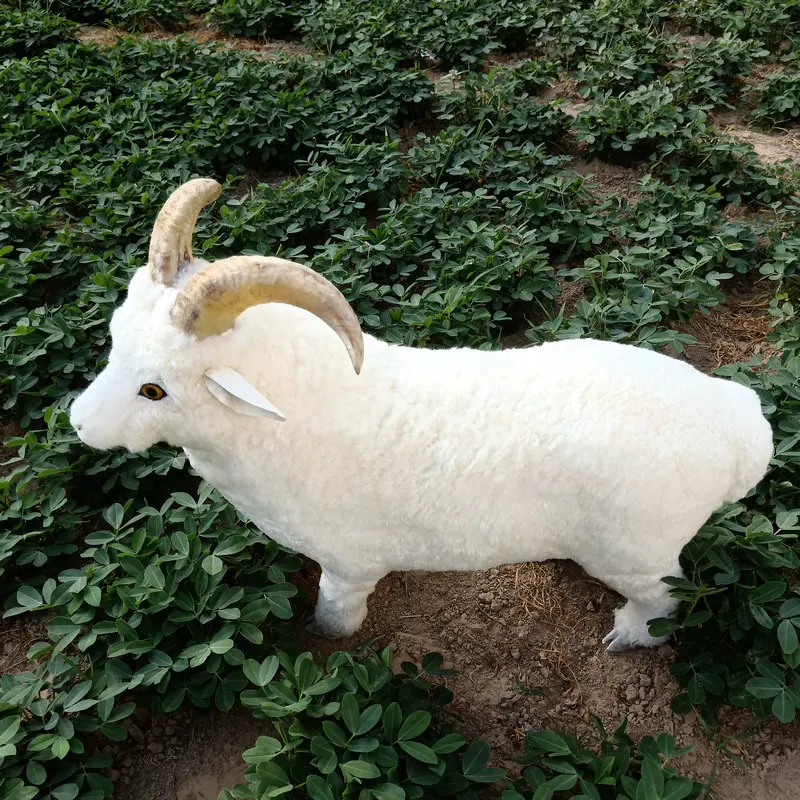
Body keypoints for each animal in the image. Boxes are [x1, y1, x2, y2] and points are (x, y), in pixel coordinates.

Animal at [69, 178, 775, 652]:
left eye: (154, 391)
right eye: (113, 341)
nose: (78, 424)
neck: (304, 418)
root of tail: (743, 428)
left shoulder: (348, 567)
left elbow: (335, 615)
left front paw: (326, 641)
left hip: (636, 553)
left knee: (663, 598)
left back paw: (627, 635)